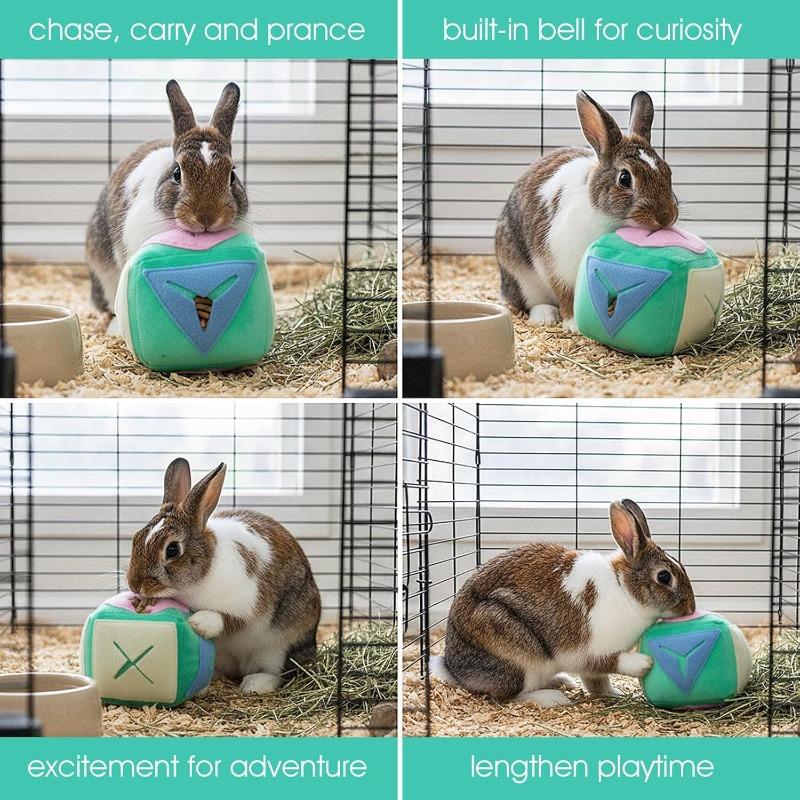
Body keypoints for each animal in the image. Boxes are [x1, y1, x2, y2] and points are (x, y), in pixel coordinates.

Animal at [126, 458, 321, 695]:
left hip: (277, 649)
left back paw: (254, 684)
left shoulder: (249, 607)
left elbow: (228, 619)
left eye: (172, 550)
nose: (134, 585)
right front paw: (139, 601)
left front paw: (199, 622)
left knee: (277, 674)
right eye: (136, 538)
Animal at [430, 499, 695, 708]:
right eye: (664, 577)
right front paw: (643, 663)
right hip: (515, 652)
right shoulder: (592, 652)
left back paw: (561, 682)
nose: (690, 608)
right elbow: (612, 663)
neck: (624, 588)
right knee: (507, 696)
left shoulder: (591, 669)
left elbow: (598, 683)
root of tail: (457, 671)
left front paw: (615, 693)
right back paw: (553, 698)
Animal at [496, 90, 679, 330]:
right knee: (531, 302)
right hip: (523, 279)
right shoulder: (558, 266)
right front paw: (573, 324)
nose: (666, 217)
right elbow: (566, 294)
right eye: (625, 178)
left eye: (668, 172)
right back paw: (545, 316)